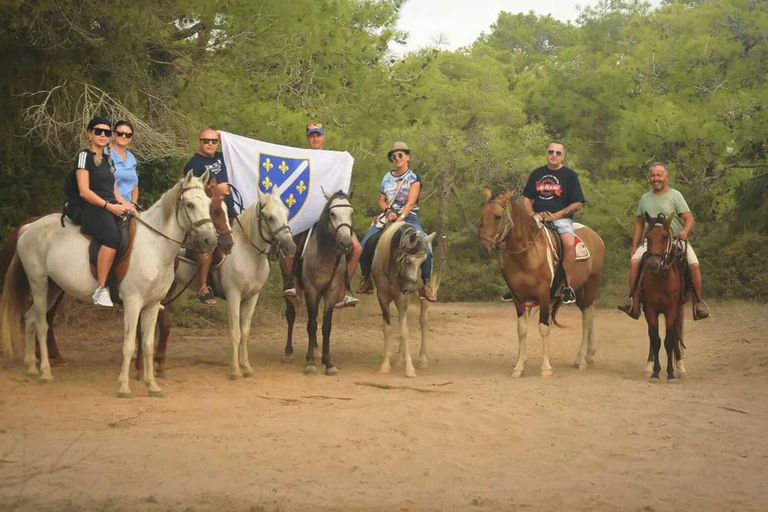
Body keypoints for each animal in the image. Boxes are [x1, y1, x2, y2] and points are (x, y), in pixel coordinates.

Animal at [0, 172, 216, 396]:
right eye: (189, 204)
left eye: (209, 203)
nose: (211, 240)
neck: (153, 245)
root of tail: (28, 227)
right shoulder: (133, 303)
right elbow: (129, 345)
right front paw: (124, 386)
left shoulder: (153, 305)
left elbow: (148, 344)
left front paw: (152, 385)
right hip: (39, 283)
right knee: (42, 324)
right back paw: (45, 372)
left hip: (53, 288)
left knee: (30, 318)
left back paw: (31, 368)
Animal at [173, 186, 294, 378]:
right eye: (269, 217)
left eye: (286, 213)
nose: (291, 247)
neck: (249, 255)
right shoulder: (233, 296)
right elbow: (235, 332)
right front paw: (236, 370)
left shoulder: (252, 298)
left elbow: (245, 332)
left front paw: (247, 367)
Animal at [480, 188, 608, 376]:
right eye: (481, 216)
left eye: (497, 216)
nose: (484, 245)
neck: (526, 255)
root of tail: (595, 236)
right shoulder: (518, 297)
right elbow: (521, 330)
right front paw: (519, 366)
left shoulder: (544, 295)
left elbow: (544, 328)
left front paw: (546, 368)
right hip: (578, 290)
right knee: (588, 312)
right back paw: (587, 355)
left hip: (591, 283)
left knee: (587, 318)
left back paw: (582, 361)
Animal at [640, 210, 688, 382]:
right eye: (647, 237)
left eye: (665, 237)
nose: (653, 264)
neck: (661, 279)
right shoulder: (651, 309)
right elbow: (655, 339)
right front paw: (655, 372)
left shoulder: (671, 309)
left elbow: (669, 340)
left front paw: (671, 373)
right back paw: (648, 365)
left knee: (676, 337)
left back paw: (680, 367)